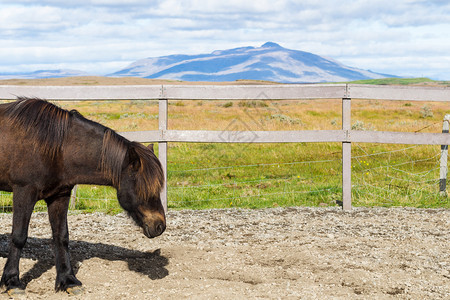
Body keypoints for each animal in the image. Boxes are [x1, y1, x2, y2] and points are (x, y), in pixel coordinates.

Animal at [0, 97, 165, 294]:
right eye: (143, 188)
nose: (160, 226)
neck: (56, 147)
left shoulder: (60, 196)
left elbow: (61, 237)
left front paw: (68, 280)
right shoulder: (24, 192)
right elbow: (19, 236)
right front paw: (12, 282)